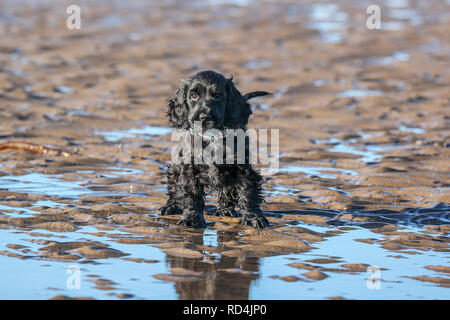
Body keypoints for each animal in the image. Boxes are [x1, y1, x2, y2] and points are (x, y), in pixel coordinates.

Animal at [159, 71, 268, 229]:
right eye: (193, 96)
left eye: (217, 96)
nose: (204, 116)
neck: (211, 137)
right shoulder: (190, 169)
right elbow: (192, 194)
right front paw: (191, 217)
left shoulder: (243, 169)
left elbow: (248, 192)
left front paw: (254, 218)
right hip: (175, 168)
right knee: (174, 189)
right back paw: (170, 207)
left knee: (227, 192)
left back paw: (225, 210)